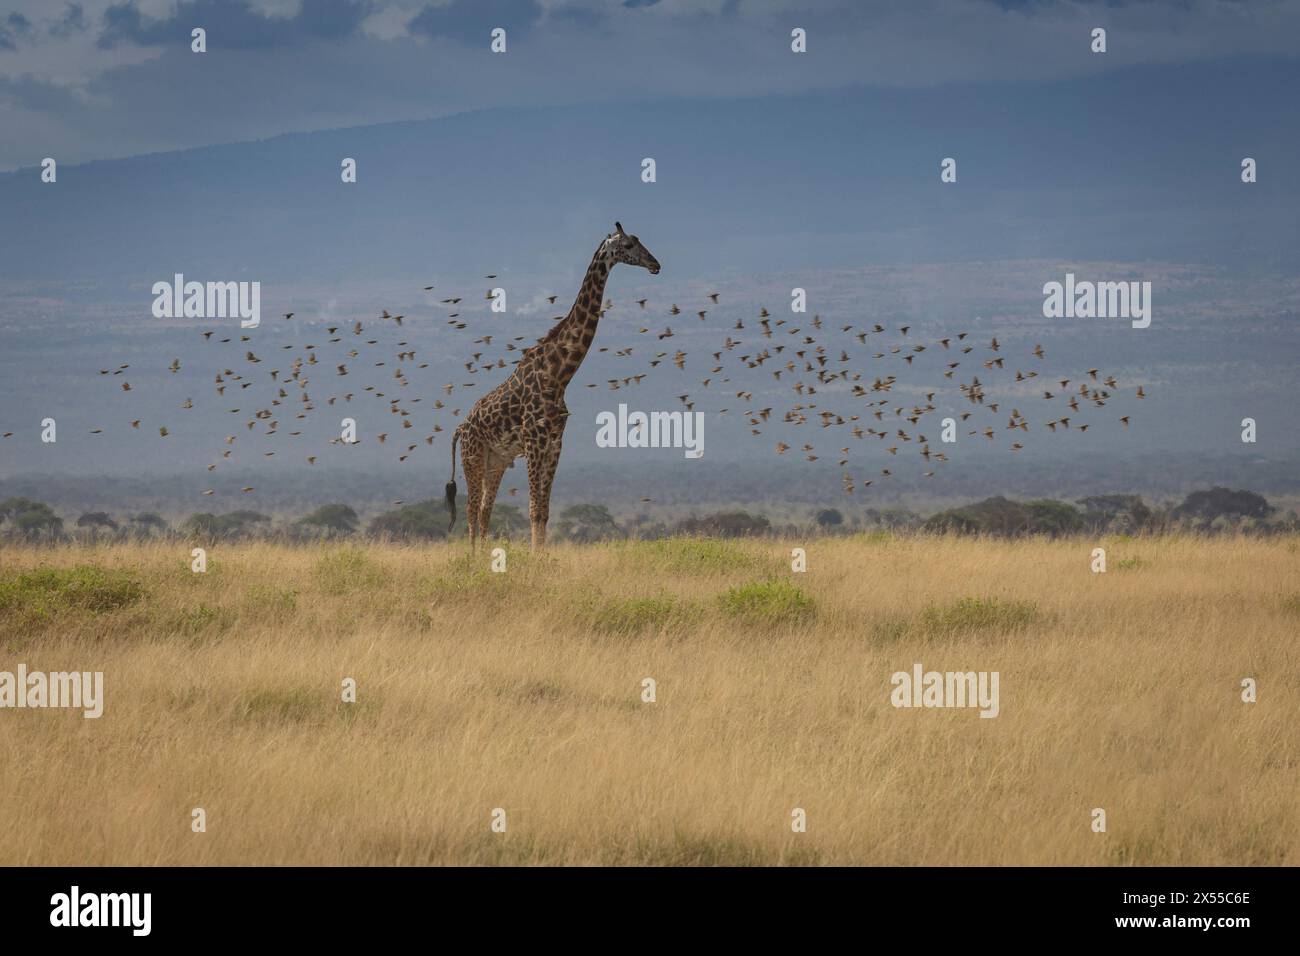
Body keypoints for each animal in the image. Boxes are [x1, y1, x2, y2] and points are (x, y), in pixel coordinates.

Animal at [447, 223, 660, 548]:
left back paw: (483, 554)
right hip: (472, 456)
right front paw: (536, 557)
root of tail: (460, 427)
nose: (655, 264)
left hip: (495, 461)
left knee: (484, 509)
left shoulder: (556, 442)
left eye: (638, 241)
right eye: (628, 245)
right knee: (471, 510)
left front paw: (544, 556)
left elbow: (544, 511)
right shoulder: (534, 441)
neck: (559, 374)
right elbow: (534, 509)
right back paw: (471, 556)